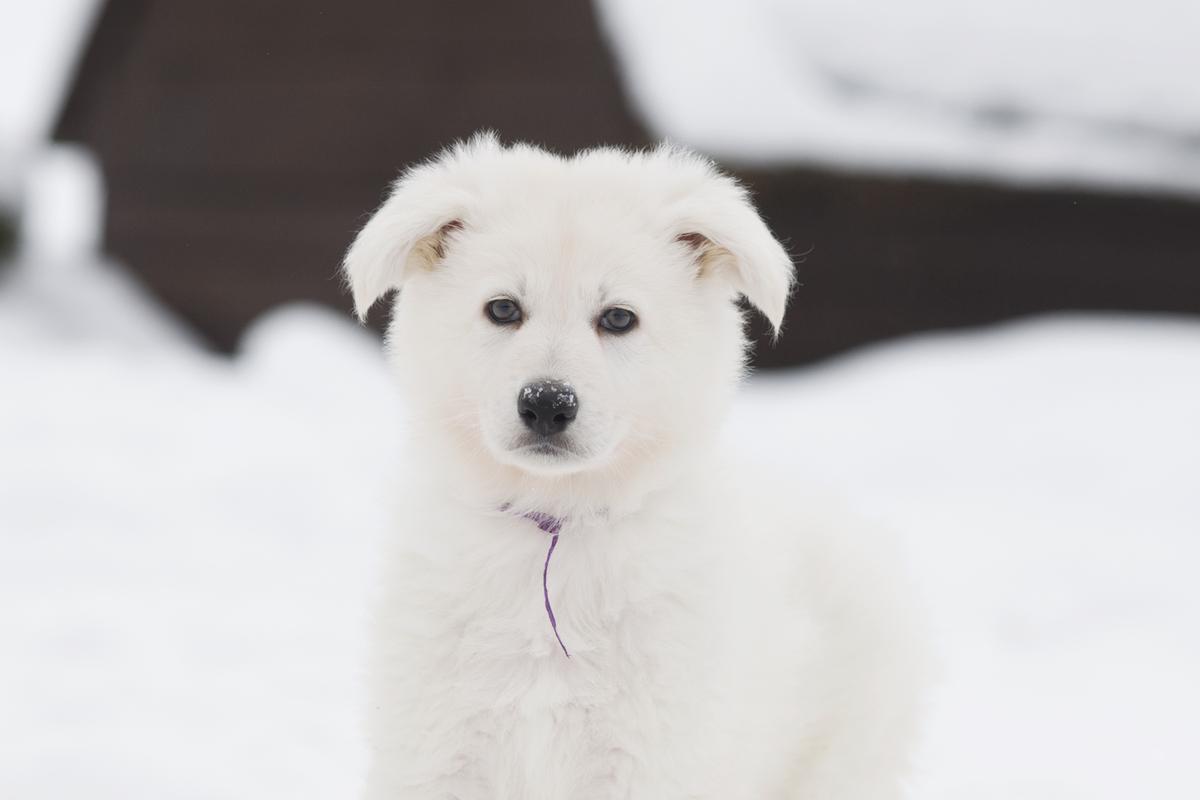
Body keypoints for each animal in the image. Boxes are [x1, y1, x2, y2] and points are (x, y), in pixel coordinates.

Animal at [343, 134, 921, 796]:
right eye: (503, 309)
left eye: (618, 318)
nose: (547, 404)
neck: (554, 530)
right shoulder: (437, 745)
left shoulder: (652, 754)